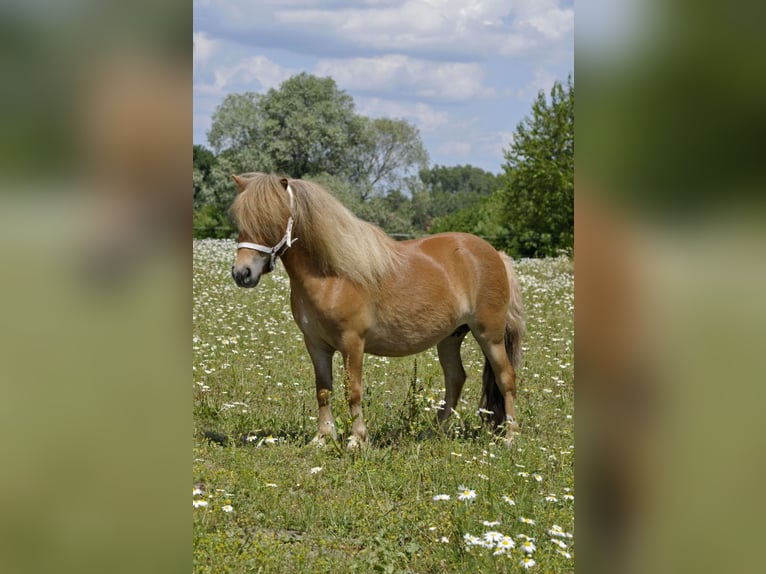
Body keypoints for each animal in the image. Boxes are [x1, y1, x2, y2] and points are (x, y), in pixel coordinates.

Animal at [231, 173, 524, 452]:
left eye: (271, 220)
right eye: (240, 220)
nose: (241, 273)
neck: (331, 276)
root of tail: (495, 253)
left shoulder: (352, 342)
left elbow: (353, 391)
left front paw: (356, 441)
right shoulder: (315, 344)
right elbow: (323, 390)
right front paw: (322, 438)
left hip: (489, 335)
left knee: (505, 378)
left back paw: (510, 438)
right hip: (450, 338)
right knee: (455, 379)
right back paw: (434, 432)